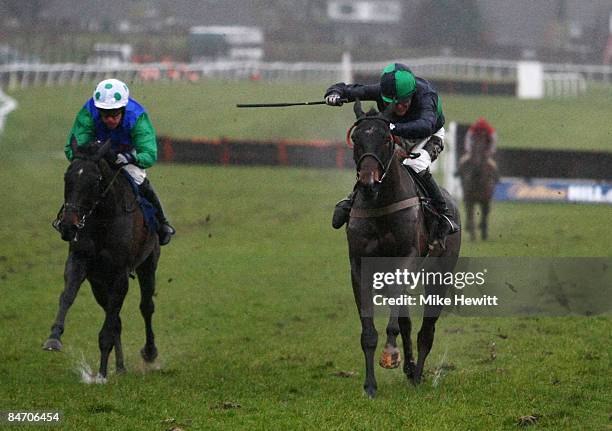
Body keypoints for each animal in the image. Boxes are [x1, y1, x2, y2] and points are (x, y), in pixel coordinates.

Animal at [44, 140, 161, 380]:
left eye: (94, 180)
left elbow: (110, 325)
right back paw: (121, 366)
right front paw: (54, 337)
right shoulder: (81, 262)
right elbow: (67, 295)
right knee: (115, 317)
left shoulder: (120, 274)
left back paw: (149, 352)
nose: (68, 225)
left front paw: (101, 374)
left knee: (146, 307)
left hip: (148, 264)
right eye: (67, 177)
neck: (103, 220)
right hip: (98, 283)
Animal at [344, 102, 460, 398]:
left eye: (386, 138)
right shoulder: (359, 267)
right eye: (357, 139)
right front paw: (370, 386)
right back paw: (409, 368)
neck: (380, 205)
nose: (368, 183)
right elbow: (369, 332)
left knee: (426, 330)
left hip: (439, 276)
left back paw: (417, 374)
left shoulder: (406, 260)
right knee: (408, 323)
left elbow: (397, 321)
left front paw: (391, 354)